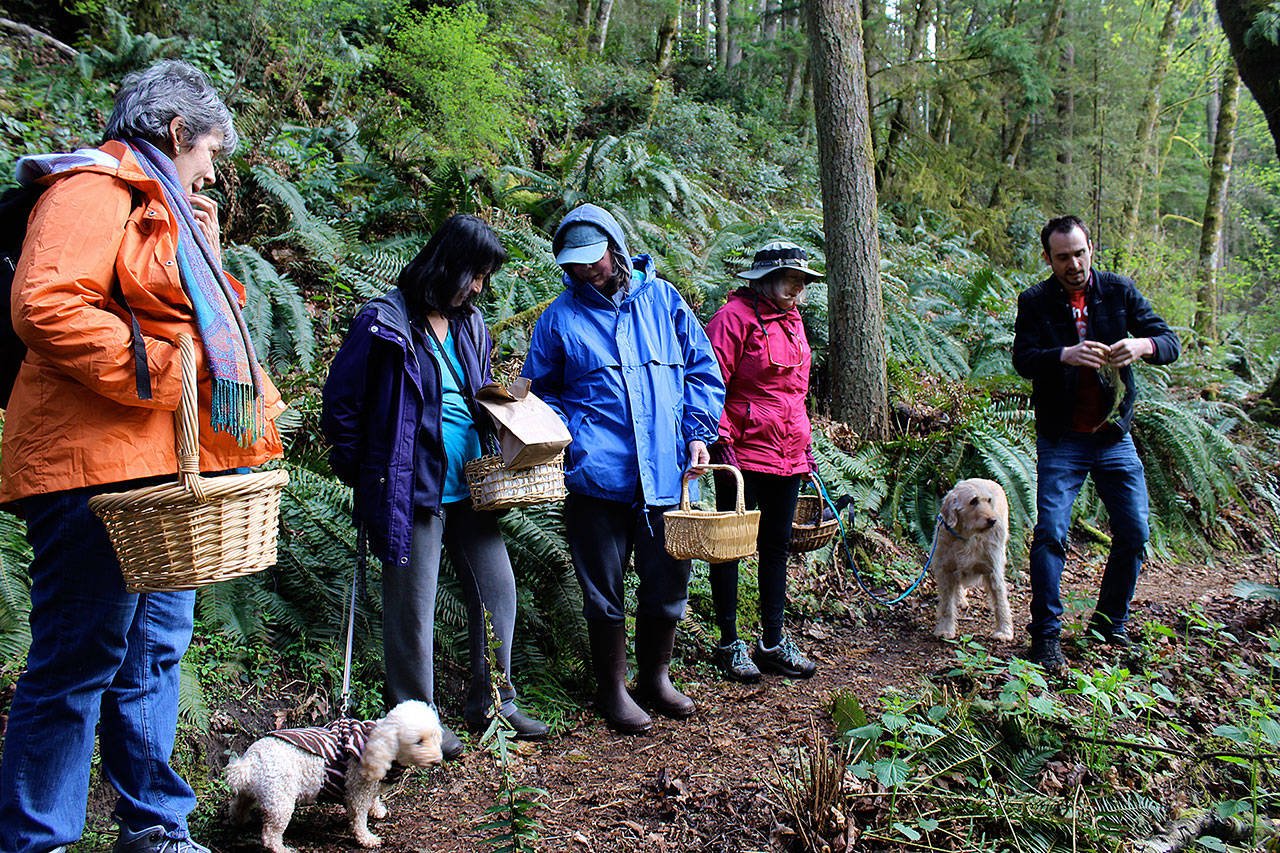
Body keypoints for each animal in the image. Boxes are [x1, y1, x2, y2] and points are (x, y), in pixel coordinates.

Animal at [931, 479, 1008, 637]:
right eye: (973, 501)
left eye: (989, 500)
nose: (993, 520)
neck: (967, 537)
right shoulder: (946, 570)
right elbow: (947, 605)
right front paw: (945, 629)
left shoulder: (994, 571)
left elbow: (1000, 601)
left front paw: (1004, 631)